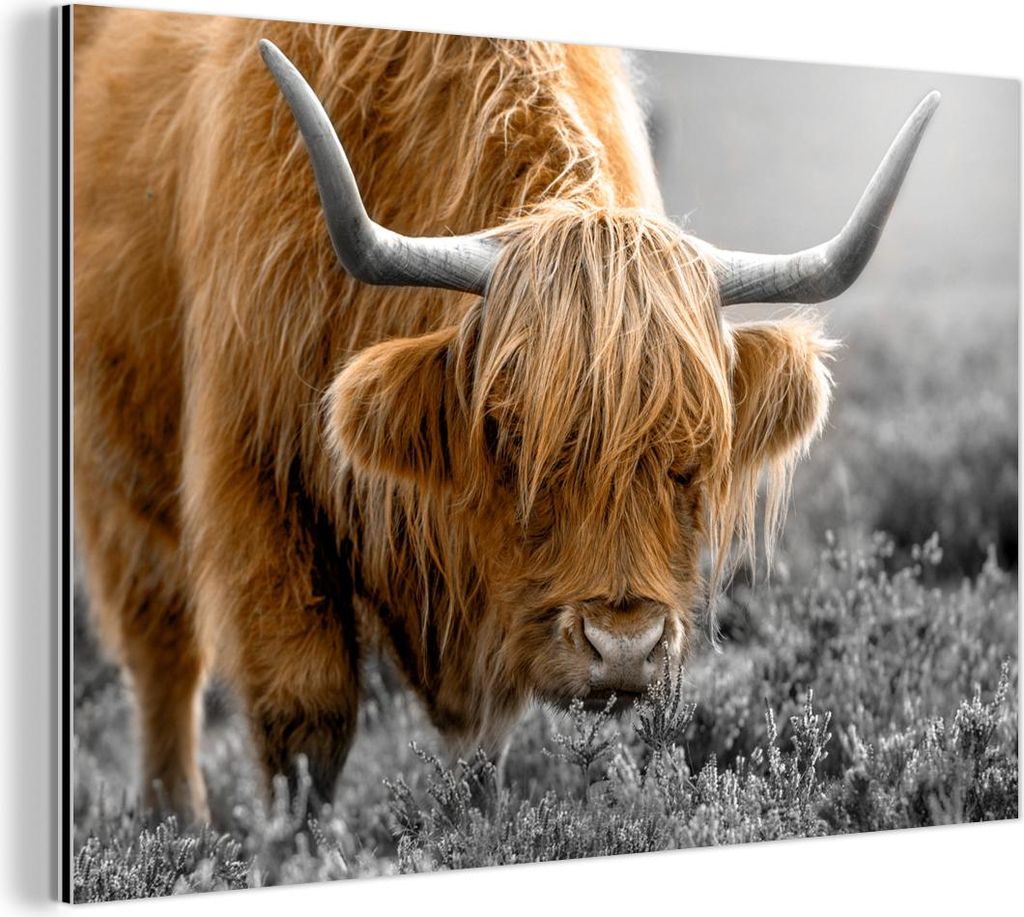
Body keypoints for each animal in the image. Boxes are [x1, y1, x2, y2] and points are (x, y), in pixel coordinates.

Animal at [72, 6, 938, 822]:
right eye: (514, 435)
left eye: (692, 452)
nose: (624, 648)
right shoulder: (259, 480)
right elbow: (304, 718)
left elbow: (484, 746)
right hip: (118, 476)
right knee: (162, 655)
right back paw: (174, 823)